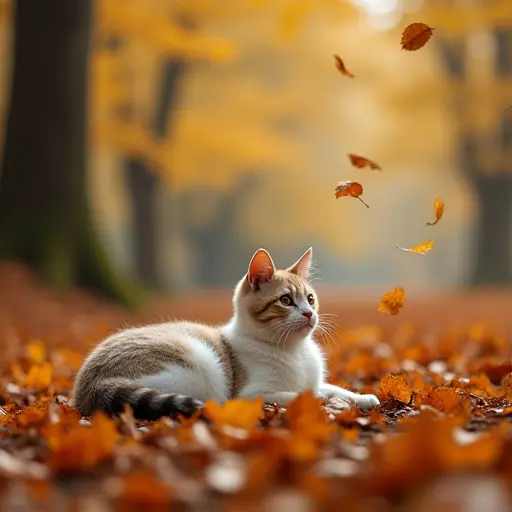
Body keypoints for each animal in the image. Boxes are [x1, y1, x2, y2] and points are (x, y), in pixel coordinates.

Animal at [73, 248, 380, 420]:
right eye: (285, 301)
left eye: (310, 299)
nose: (308, 314)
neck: (293, 350)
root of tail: (90, 383)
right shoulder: (251, 394)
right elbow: (303, 396)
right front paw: (328, 403)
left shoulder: (314, 382)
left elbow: (331, 388)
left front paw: (363, 397)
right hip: (200, 366)